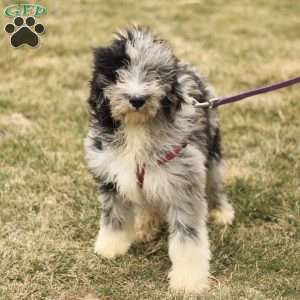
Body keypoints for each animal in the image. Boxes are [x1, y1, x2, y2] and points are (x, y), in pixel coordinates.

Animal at [84, 26, 234, 296]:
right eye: (118, 73)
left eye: (153, 73)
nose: (137, 99)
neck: (137, 128)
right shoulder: (110, 175)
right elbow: (114, 217)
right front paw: (111, 246)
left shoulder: (183, 182)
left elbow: (188, 239)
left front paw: (188, 280)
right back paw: (144, 226)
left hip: (212, 148)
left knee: (215, 183)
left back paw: (221, 212)